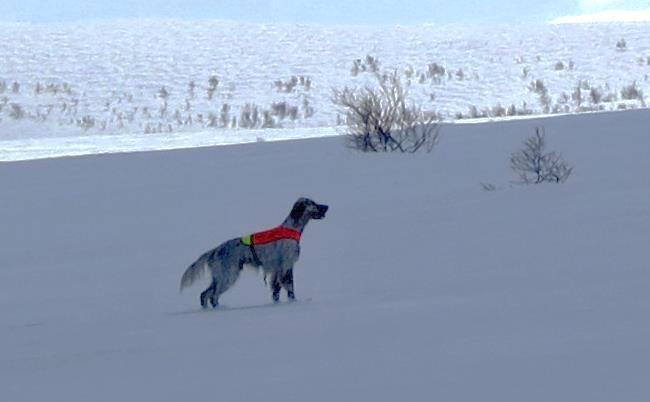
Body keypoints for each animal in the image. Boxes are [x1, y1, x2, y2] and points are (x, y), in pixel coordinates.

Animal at [178, 198, 326, 308]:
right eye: (313, 203)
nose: (327, 206)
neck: (292, 228)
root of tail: (215, 250)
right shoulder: (286, 266)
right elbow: (290, 288)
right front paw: (294, 303)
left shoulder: (277, 270)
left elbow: (276, 292)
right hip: (228, 275)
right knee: (213, 295)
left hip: (220, 276)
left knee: (205, 294)